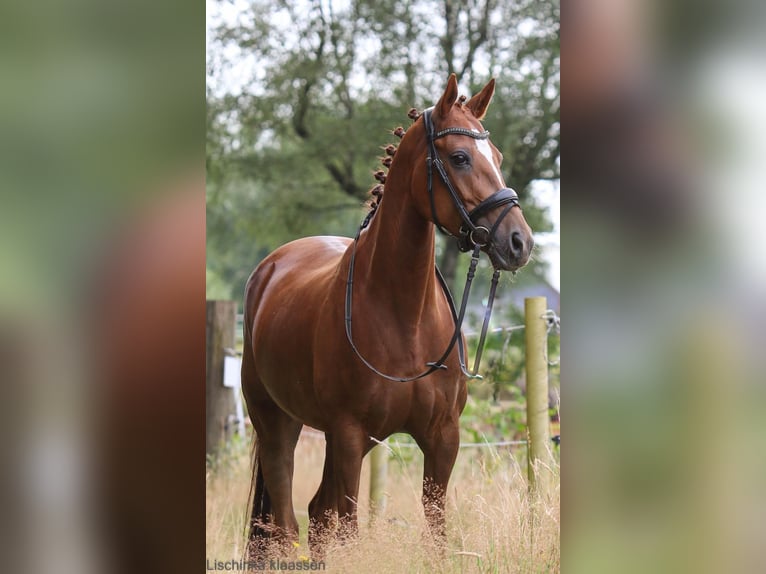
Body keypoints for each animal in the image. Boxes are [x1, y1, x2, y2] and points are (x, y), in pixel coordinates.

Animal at [244, 74, 536, 556]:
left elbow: (435, 534)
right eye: (459, 157)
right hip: (276, 423)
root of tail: (268, 269)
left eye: (496, 157)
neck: (405, 318)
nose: (519, 242)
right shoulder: (348, 433)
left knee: (316, 514)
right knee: (286, 524)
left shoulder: (442, 439)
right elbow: (347, 529)